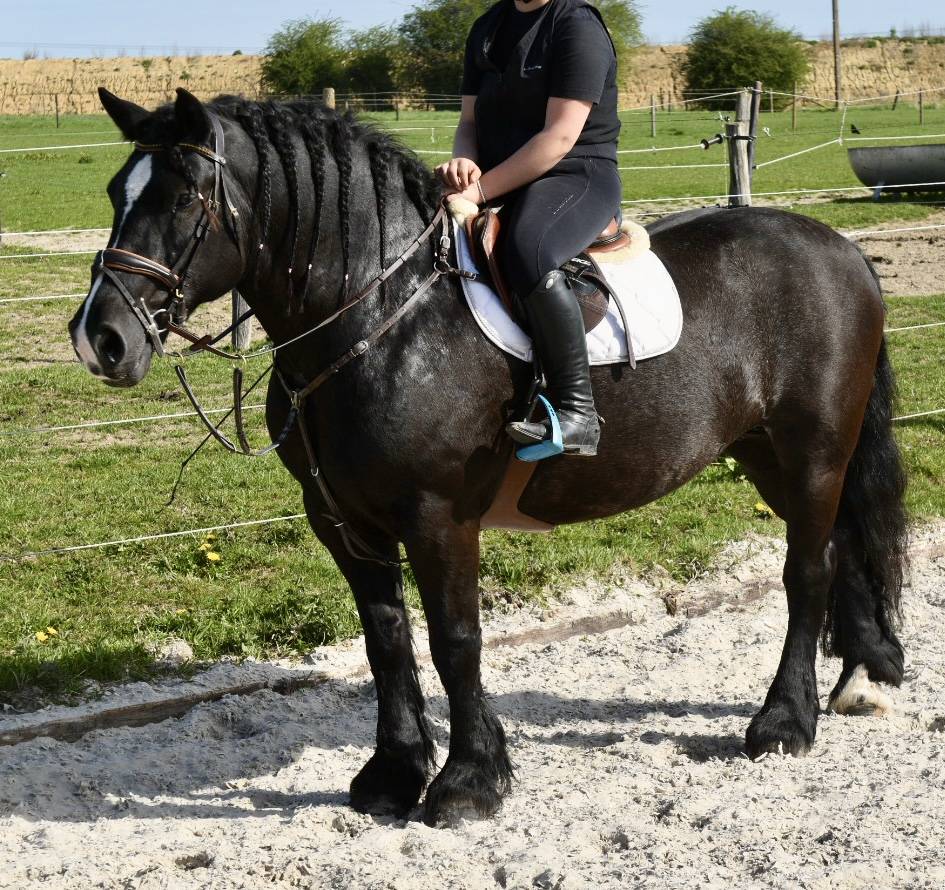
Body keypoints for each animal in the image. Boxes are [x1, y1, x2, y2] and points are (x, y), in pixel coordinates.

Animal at [70, 88, 907, 825]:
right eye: (114, 191)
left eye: (183, 198)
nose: (100, 338)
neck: (383, 317)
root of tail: (839, 251)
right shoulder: (342, 521)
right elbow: (386, 640)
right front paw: (392, 774)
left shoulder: (438, 516)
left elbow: (454, 639)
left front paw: (467, 782)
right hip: (769, 457)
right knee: (838, 547)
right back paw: (861, 678)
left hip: (812, 451)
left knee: (806, 571)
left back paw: (784, 722)